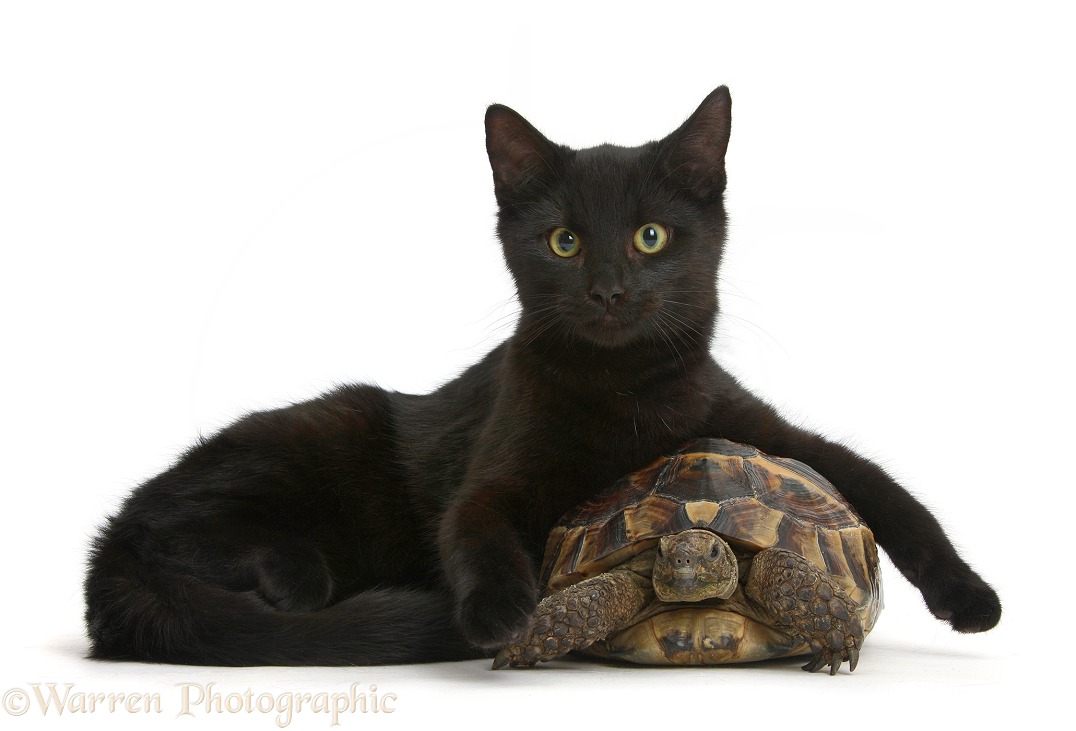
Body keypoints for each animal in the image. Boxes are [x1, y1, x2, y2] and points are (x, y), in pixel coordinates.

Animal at [83, 88, 998, 667]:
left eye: (651, 236)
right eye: (563, 241)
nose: (609, 289)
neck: (627, 393)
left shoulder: (759, 427)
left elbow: (886, 492)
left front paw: (970, 594)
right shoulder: (495, 467)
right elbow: (475, 527)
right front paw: (499, 612)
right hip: (324, 435)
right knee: (162, 529)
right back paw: (292, 572)